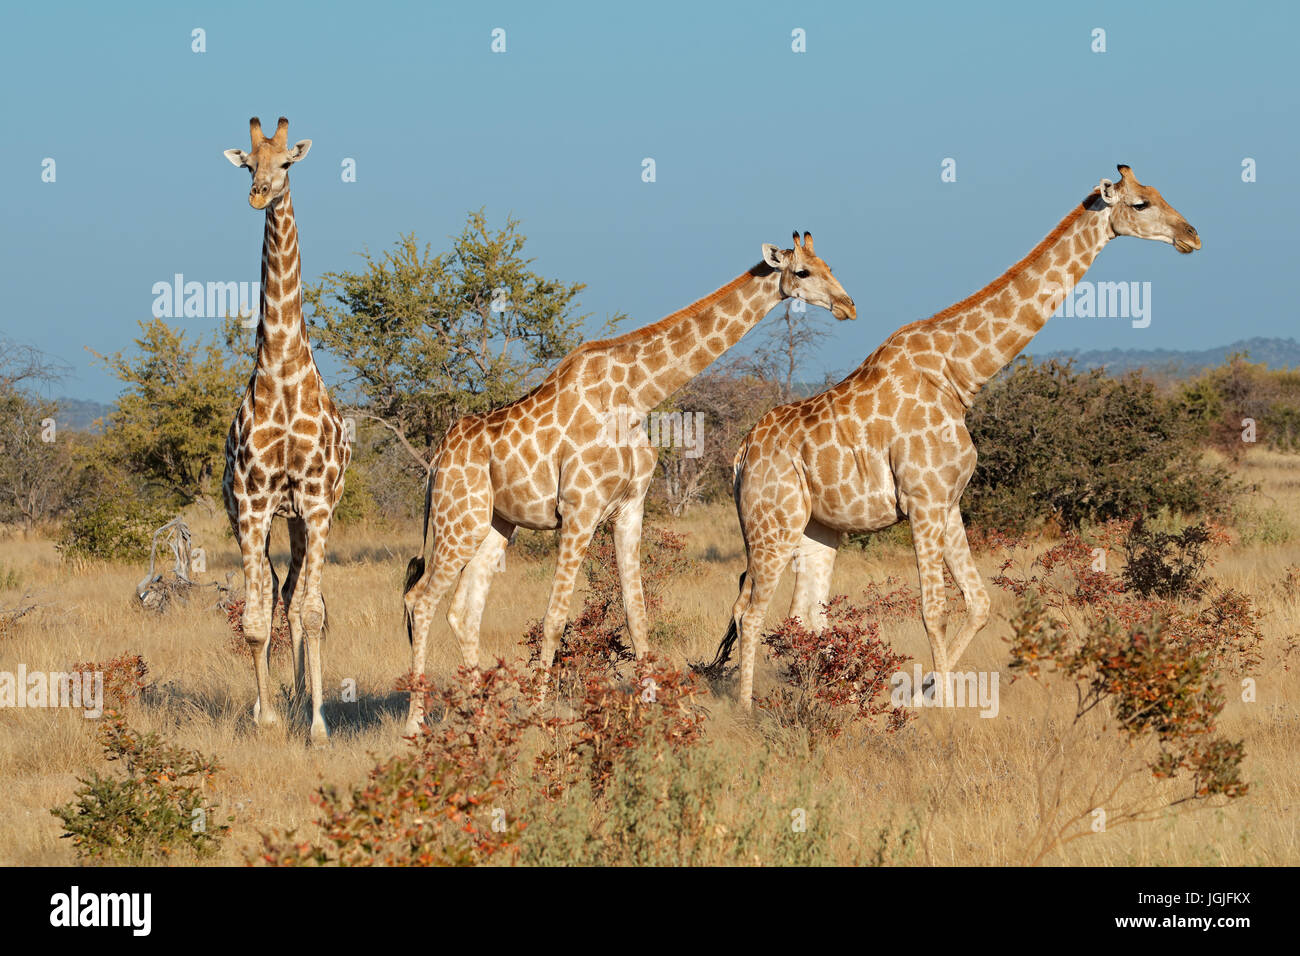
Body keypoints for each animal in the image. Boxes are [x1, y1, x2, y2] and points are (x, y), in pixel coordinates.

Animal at [402, 233, 856, 732]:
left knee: (463, 610)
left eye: (830, 266)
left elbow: (636, 612)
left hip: (493, 524)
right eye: (803, 272)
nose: (848, 305)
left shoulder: (628, 508)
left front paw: (659, 707)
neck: (637, 395)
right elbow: (554, 617)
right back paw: (416, 723)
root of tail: (436, 461)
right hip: (457, 519)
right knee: (420, 600)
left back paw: (480, 717)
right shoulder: (579, 511)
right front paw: (540, 716)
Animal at [711, 166, 1201, 707]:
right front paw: (941, 709)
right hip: (771, 524)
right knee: (750, 612)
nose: (1192, 235)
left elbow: (980, 602)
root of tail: (740, 455)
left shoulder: (949, 503)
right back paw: (747, 707)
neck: (959, 374)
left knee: (802, 614)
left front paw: (925, 693)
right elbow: (934, 609)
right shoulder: (923, 503)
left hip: (817, 528)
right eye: (1140, 204)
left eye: (1158, 194)